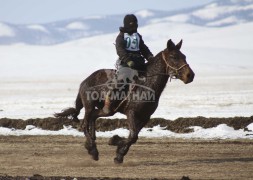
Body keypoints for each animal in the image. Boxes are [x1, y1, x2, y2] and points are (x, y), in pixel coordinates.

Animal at [54, 39, 195, 163]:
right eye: (173, 56)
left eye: (184, 56)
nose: (190, 75)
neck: (146, 84)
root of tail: (85, 81)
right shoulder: (131, 113)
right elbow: (133, 136)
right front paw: (114, 142)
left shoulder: (145, 117)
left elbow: (134, 137)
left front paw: (119, 154)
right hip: (90, 106)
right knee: (84, 124)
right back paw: (92, 150)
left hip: (107, 110)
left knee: (93, 117)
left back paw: (93, 143)